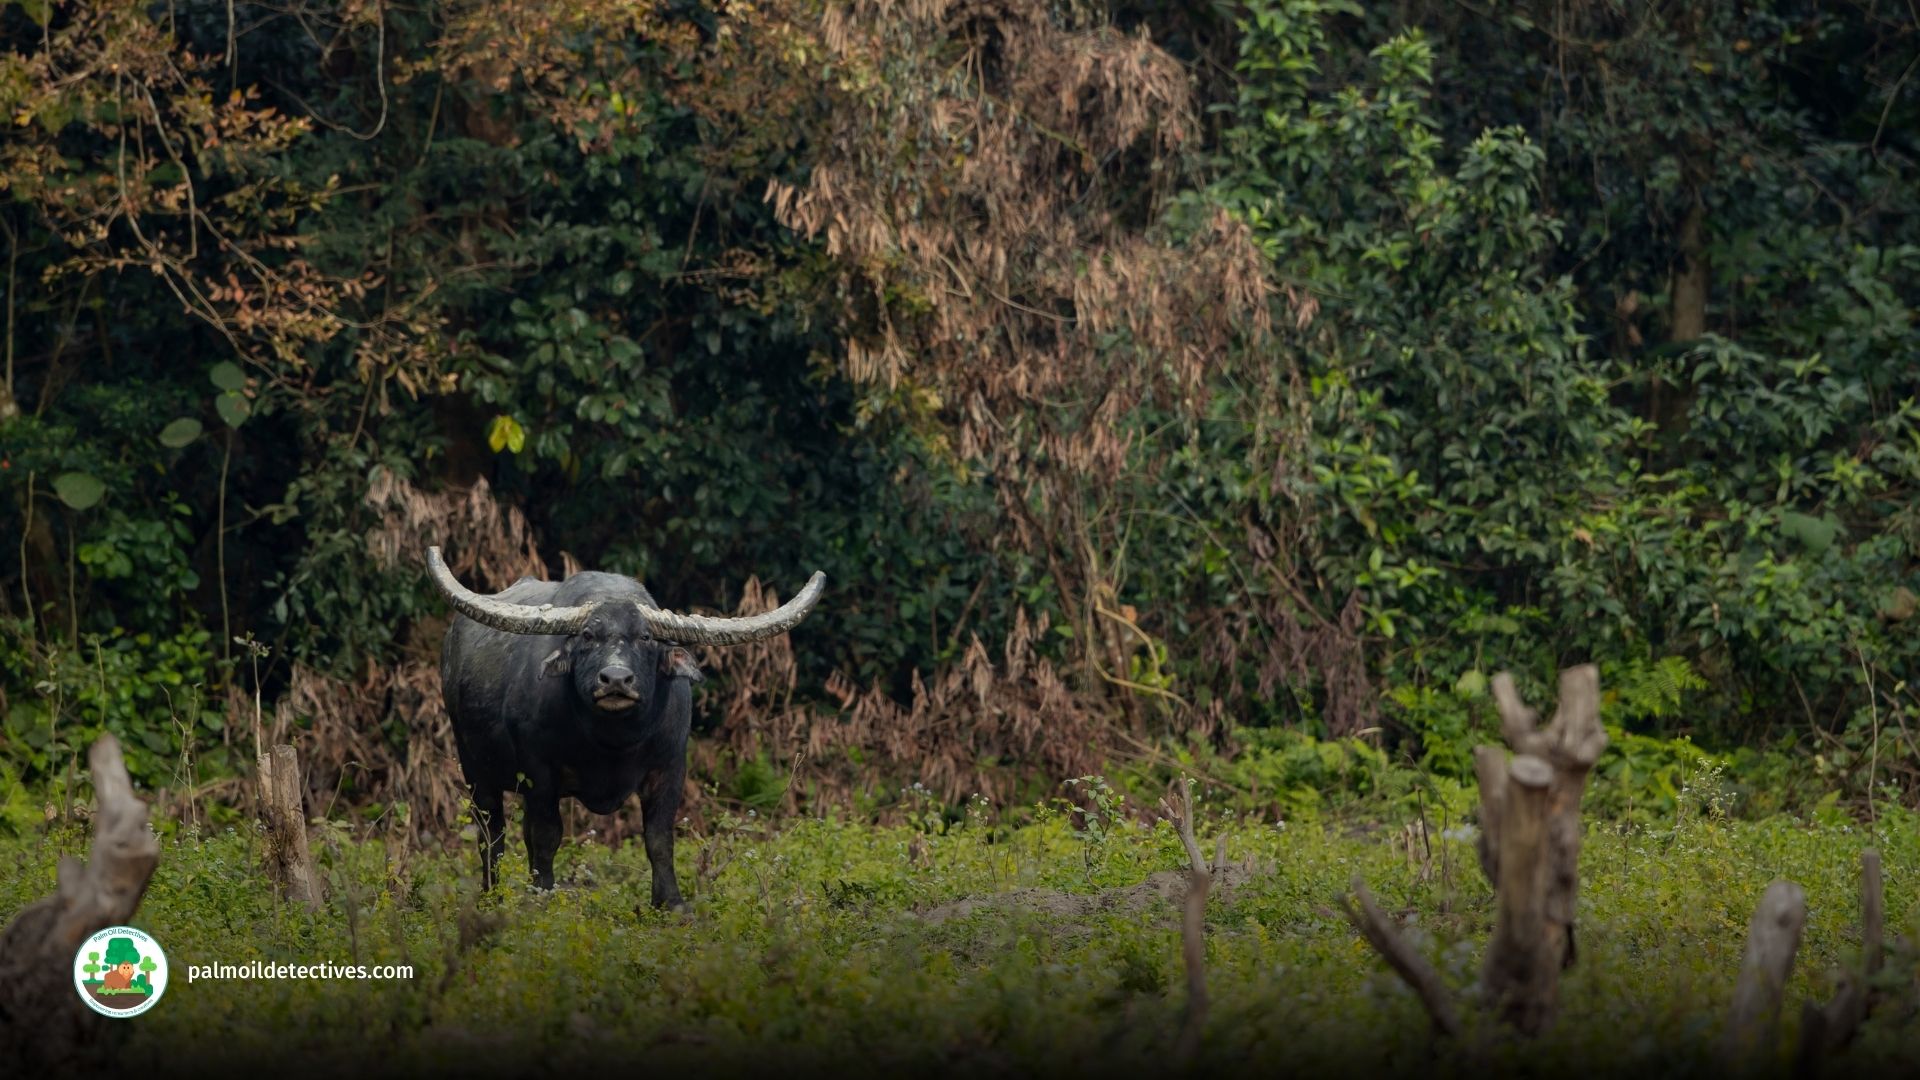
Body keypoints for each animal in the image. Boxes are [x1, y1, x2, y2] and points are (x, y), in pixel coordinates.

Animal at [426, 546, 824, 908]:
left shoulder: (670, 767)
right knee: (491, 831)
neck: (610, 743)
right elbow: (547, 836)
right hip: (475, 768)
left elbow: (659, 838)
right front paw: (542, 896)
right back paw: (492, 894)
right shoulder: (540, 773)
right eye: (588, 636)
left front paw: (671, 904)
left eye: (645, 638)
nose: (615, 679)